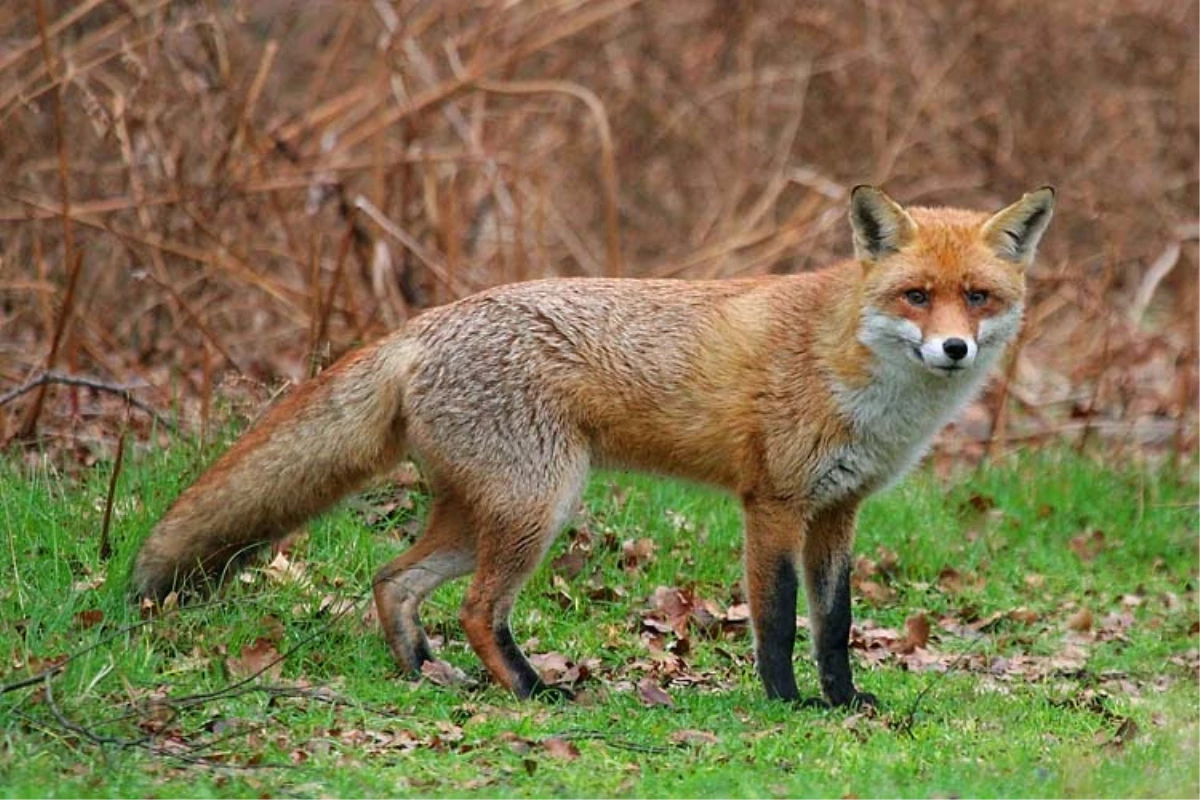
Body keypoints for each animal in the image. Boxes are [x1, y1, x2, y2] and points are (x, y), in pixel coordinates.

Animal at [129, 185, 1051, 705]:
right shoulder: (774, 504)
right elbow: (778, 622)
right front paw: (788, 704)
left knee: (391, 580)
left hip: (486, 512)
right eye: (916, 295)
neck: (861, 377)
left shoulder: (838, 512)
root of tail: (423, 325)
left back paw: (421, 673)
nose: (954, 349)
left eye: (976, 297)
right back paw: (534, 692)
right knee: (477, 608)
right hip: (540, 506)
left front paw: (848, 704)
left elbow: (835, 626)